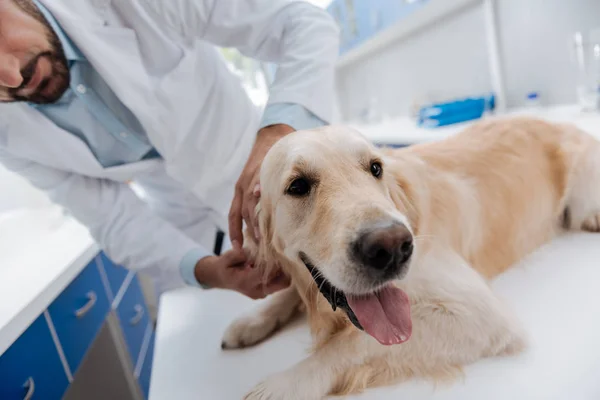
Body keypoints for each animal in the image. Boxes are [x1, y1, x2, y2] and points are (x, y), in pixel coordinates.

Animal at [220, 116, 600, 400]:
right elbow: (290, 294)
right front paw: (252, 319)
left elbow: (349, 343)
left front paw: (283, 384)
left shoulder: (479, 313)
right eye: (297, 186)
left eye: (375, 168)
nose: (392, 248)